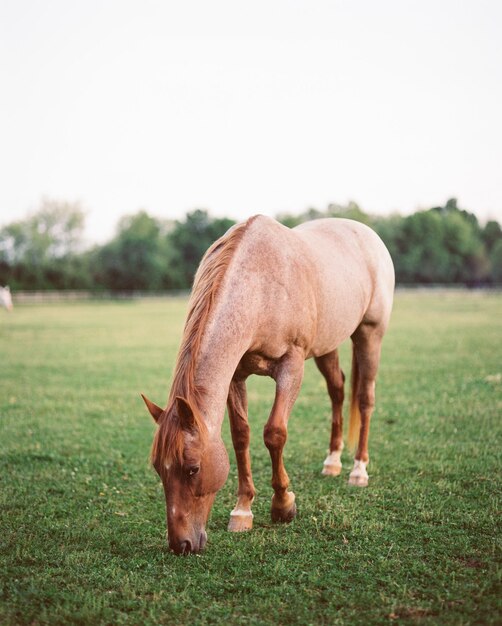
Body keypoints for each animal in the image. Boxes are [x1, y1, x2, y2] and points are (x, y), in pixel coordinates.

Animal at [140, 214, 392, 552]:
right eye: (158, 467)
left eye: (192, 468)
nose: (181, 545)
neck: (260, 287)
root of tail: (365, 231)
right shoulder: (236, 375)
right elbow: (240, 436)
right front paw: (242, 510)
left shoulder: (291, 366)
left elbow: (274, 433)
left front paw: (283, 505)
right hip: (327, 344)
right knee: (337, 390)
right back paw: (333, 461)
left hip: (370, 334)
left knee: (364, 397)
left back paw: (358, 470)